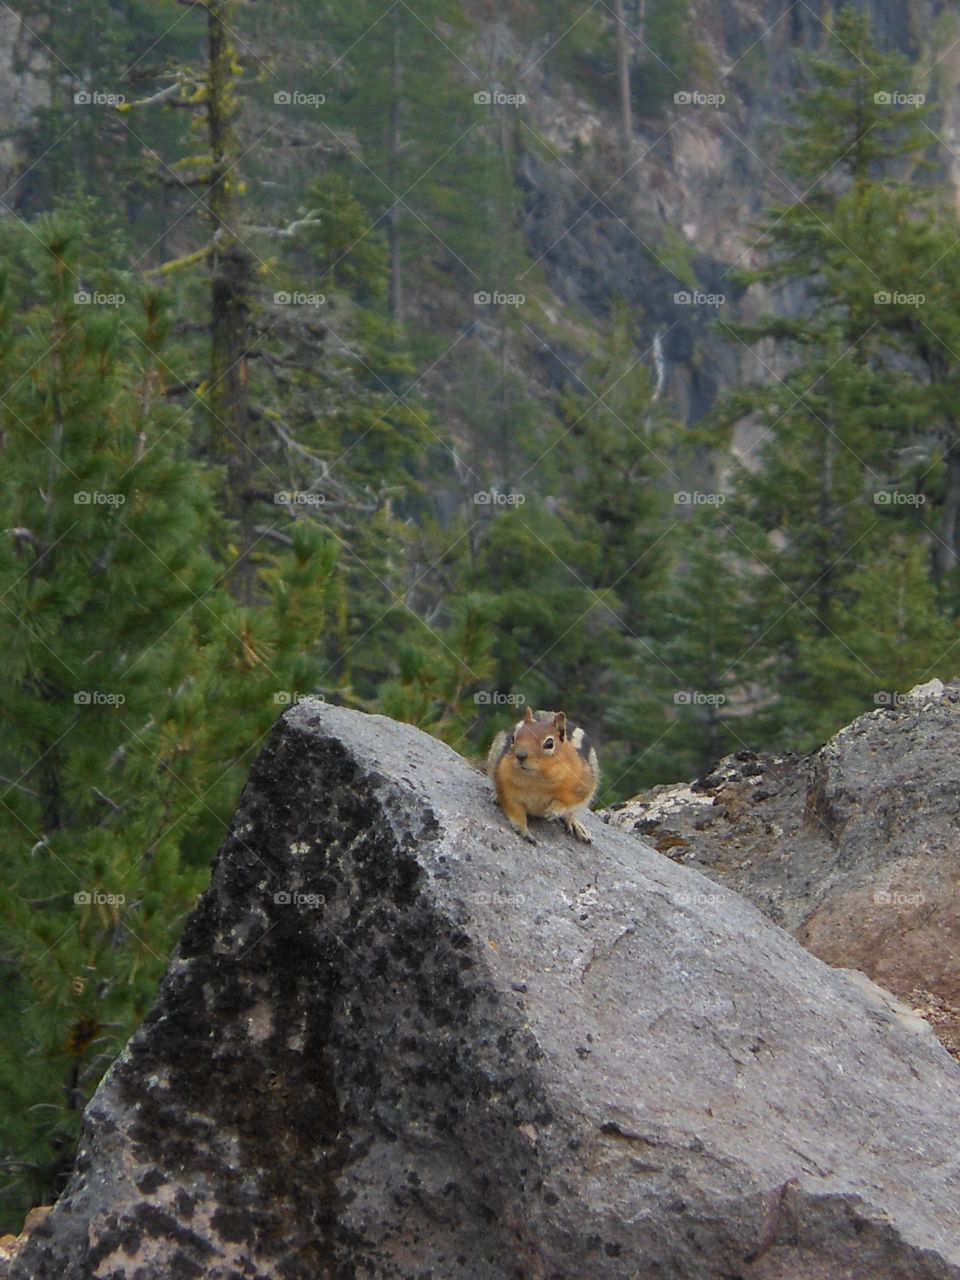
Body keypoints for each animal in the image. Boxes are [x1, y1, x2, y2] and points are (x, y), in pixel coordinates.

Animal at [486, 706, 599, 844]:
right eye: (513, 737)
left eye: (549, 743)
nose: (520, 755)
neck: (538, 780)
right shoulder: (507, 789)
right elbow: (515, 811)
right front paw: (524, 830)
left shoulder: (582, 785)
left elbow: (568, 802)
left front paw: (554, 810)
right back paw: (495, 796)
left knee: (571, 813)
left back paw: (577, 826)